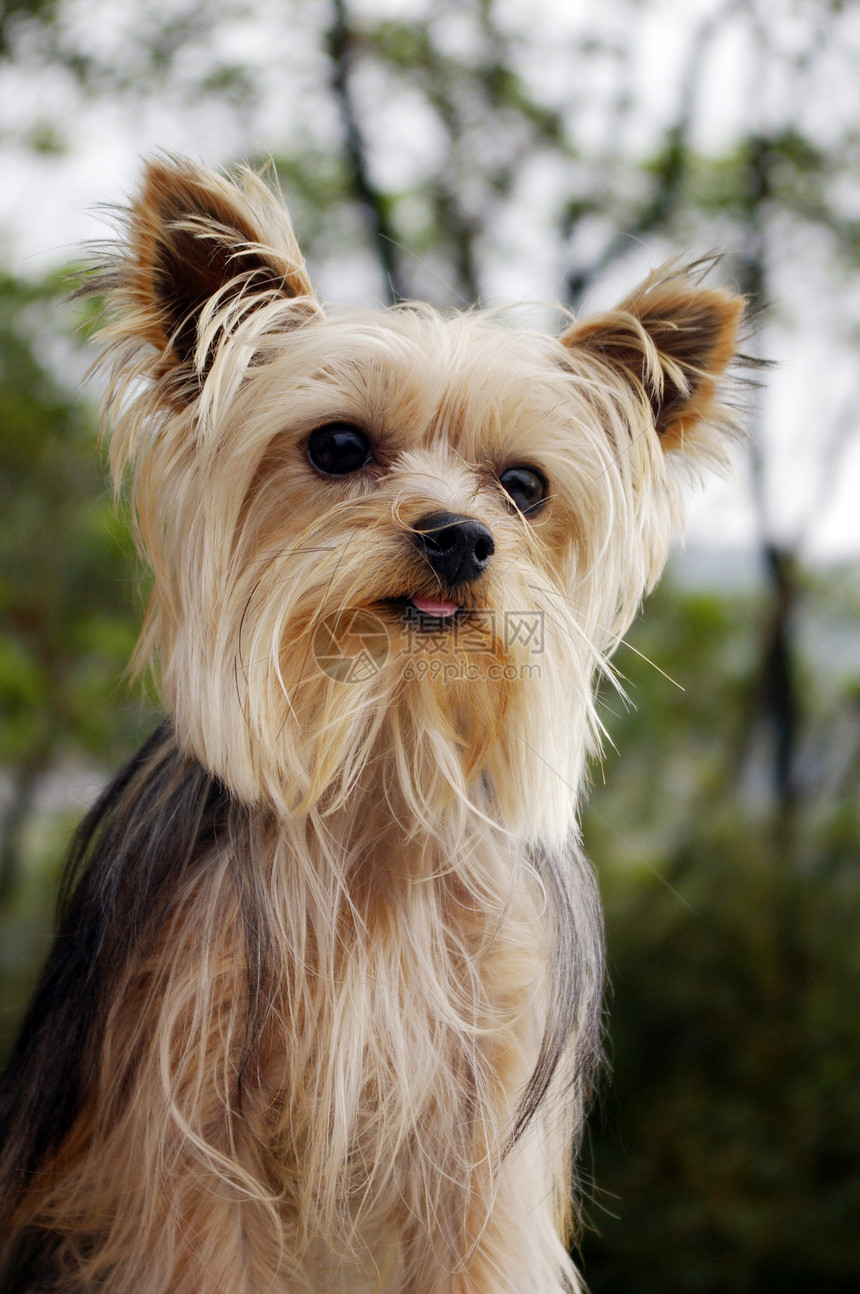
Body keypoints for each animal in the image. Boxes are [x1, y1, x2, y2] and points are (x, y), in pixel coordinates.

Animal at [0, 161, 739, 1294]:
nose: (461, 537)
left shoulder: (480, 1134)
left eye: (523, 486)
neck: (384, 745)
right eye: (338, 446)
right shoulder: (186, 1122)